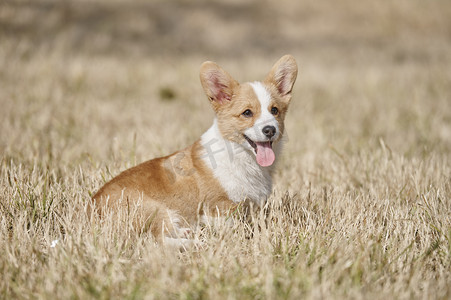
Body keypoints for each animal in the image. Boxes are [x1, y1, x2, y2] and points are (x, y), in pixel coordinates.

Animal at [90, 54, 298, 246]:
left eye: (274, 110)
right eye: (247, 113)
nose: (270, 130)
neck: (241, 156)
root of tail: (91, 209)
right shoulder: (219, 209)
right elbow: (234, 225)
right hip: (154, 210)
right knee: (155, 241)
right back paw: (195, 243)